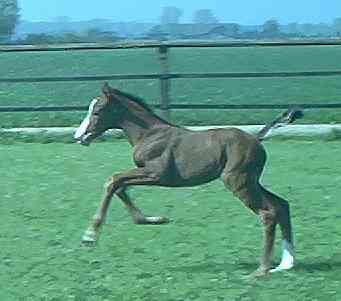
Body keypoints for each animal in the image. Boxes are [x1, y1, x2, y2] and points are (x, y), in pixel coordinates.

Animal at [74, 83, 300, 276]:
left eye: (97, 111)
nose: (79, 137)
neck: (149, 134)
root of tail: (257, 139)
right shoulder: (148, 174)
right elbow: (119, 186)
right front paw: (155, 219)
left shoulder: (156, 173)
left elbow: (112, 180)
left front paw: (89, 236)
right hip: (251, 181)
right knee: (281, 204)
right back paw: (285, 264)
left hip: (237, 181)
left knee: (267, 213)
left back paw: (261, 270)